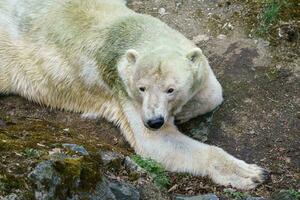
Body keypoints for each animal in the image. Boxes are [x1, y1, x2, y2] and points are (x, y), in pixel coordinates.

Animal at [0, 0, 268, 189]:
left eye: (171, 89)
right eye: (142, 88)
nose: (154, 121)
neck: (126, 31)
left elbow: (213, 91)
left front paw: (184, 112)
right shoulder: (122, 90)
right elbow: (157, 144)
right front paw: (252, 173)